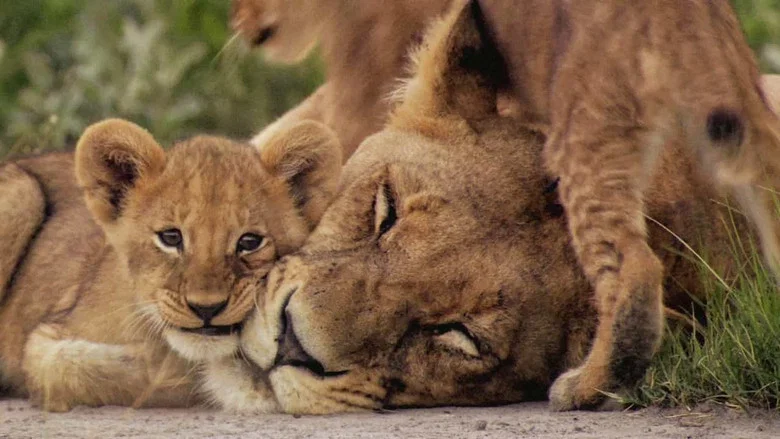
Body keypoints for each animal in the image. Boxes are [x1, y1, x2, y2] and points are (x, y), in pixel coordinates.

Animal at [0, 118, 340, 412]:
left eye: (250, 241)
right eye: (171, 237)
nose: (206, 308)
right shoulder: (44, 342)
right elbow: (83, 368)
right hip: (22, 191)